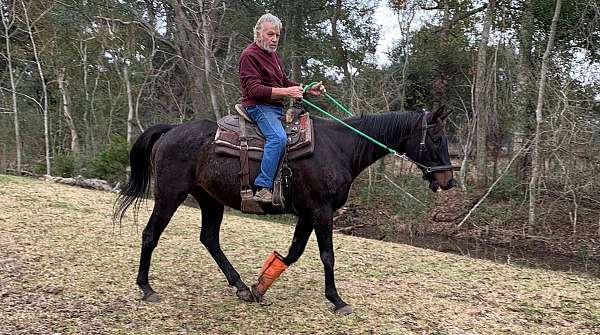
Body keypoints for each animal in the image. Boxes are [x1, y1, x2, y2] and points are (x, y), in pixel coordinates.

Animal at [113, 107, 454, 316]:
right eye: (436, 138)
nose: (448, 180)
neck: (340, 148)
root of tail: (172, 130)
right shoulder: (322, 211)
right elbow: (327, 255)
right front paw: (337, 300)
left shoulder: (306, 213)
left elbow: (293, 253)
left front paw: (260, 286)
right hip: (170, 195)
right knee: (150, 234)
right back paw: (146, 287)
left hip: (209, 199)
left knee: (209, 238)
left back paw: (240, 286)